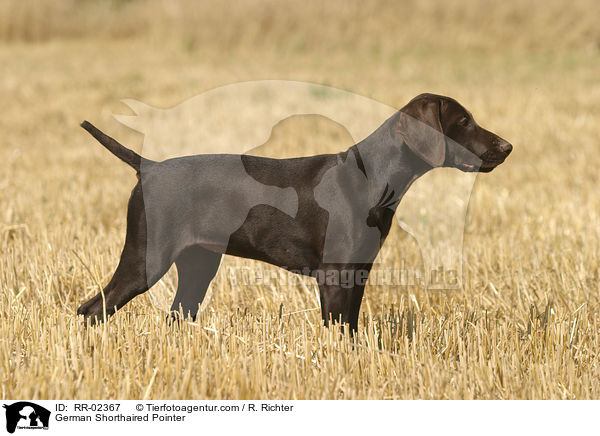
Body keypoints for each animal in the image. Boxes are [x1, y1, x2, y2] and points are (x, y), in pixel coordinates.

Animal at [76, 93, 510, 332]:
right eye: (463, 121)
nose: (507, 147)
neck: (371, 175)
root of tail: (147, 166)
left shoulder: (358, 274)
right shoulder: (334, 276)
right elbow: (338, 333)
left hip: (198, 266)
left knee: (174, 316)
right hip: (145, 260)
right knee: (91, 309)